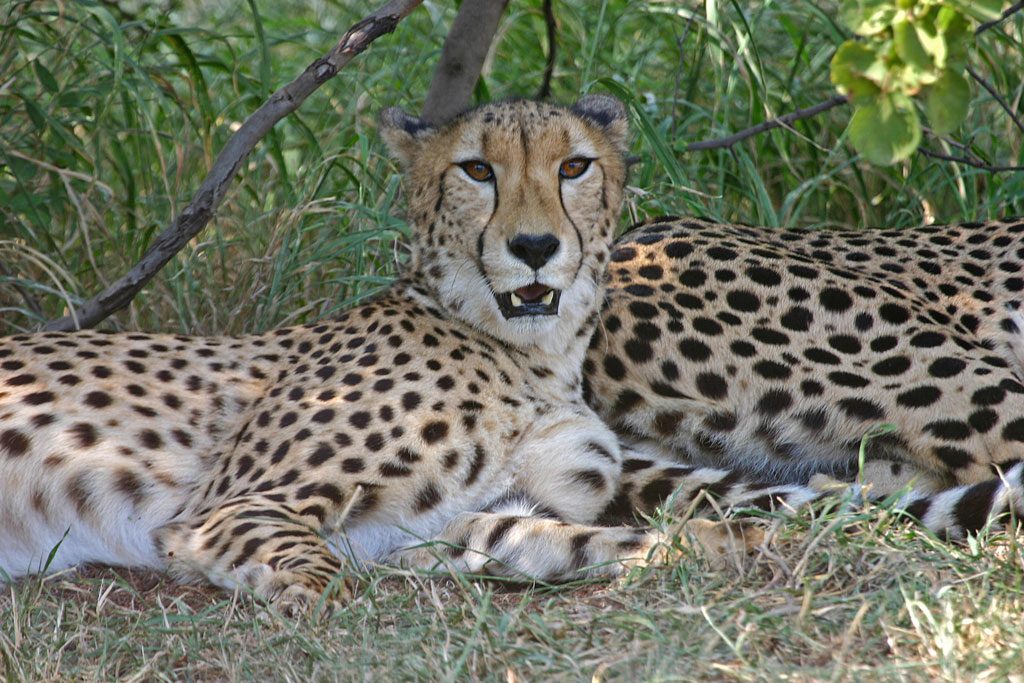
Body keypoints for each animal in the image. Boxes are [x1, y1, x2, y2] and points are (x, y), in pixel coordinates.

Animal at [0, 96, 818, 613]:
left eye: (574, 167)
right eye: (477, 170)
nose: (534, 246)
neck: (532, 353)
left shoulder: (465, 521)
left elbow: (602, 538)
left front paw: (734, 539)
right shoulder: (229, 506)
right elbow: (320, 568)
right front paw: (293, 593)